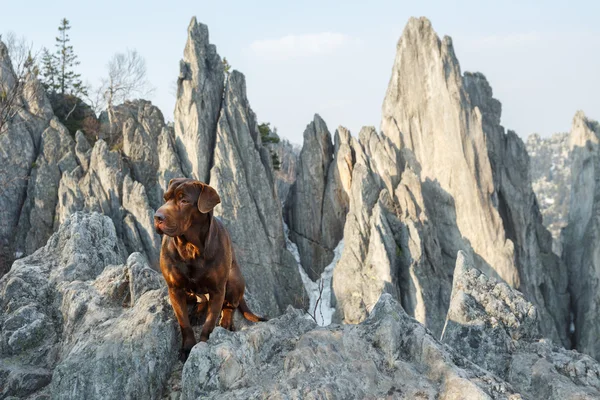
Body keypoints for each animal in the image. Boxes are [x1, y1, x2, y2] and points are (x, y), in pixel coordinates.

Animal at [155, 177, 264, 360]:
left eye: (184, 200)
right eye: (165, 198)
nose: (157, 217)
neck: (190, 248)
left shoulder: (217, 290)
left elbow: (210, 322)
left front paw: (203, 343)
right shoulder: (175, 289)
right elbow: (184, 322)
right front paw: (188, 347)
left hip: (233, 279)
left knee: (230, 305)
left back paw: (225, 322)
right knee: (201, 299)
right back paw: (198, 312)